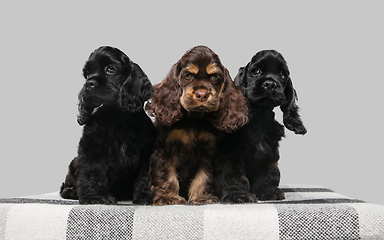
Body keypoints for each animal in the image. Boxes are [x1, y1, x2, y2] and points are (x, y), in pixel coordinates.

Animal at [60, 45, 156, 204]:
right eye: (86, 74)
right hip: (73, 163)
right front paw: (95, 197)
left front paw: (145, 197)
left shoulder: (145, 150)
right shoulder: (93, 147)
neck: (117, 116)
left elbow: (145, 176)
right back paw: (71, 191)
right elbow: (93, 170)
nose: (89, 84)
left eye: (111, 69)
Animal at [146, 46, 248, 205]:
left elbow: (203, 176)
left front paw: (202, 197)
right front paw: (168, 197)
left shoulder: (207, 150)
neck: (194, 119)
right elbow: (167, 174)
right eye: (187, 76)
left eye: (215, 78)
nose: (202, 94)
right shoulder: (165, 148)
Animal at [213, 50, 306, 202]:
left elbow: (268, 171)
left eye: (282, 74)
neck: (258, 117)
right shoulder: (230, 152)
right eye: (256, 71)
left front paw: (267, 191)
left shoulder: (269, 150)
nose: (270, 84)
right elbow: (231, 173)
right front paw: (237, 194)